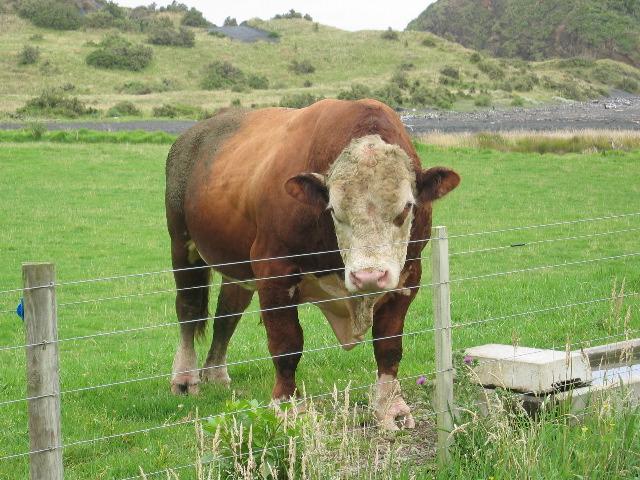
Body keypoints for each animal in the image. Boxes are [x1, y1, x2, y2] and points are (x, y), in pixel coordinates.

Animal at [162, 99, 458, 430]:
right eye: (334, 209)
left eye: (407, 206)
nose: (369, 276)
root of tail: (194, 132)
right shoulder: (274, 272)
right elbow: (287, 345)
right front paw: (286, 407)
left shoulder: (408, 276)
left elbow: (389, 345)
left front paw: (389, 407)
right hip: (183, 246)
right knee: (188, 309)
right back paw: (185, 377)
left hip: (235, 264)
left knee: (228, 314)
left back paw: (215, 373)